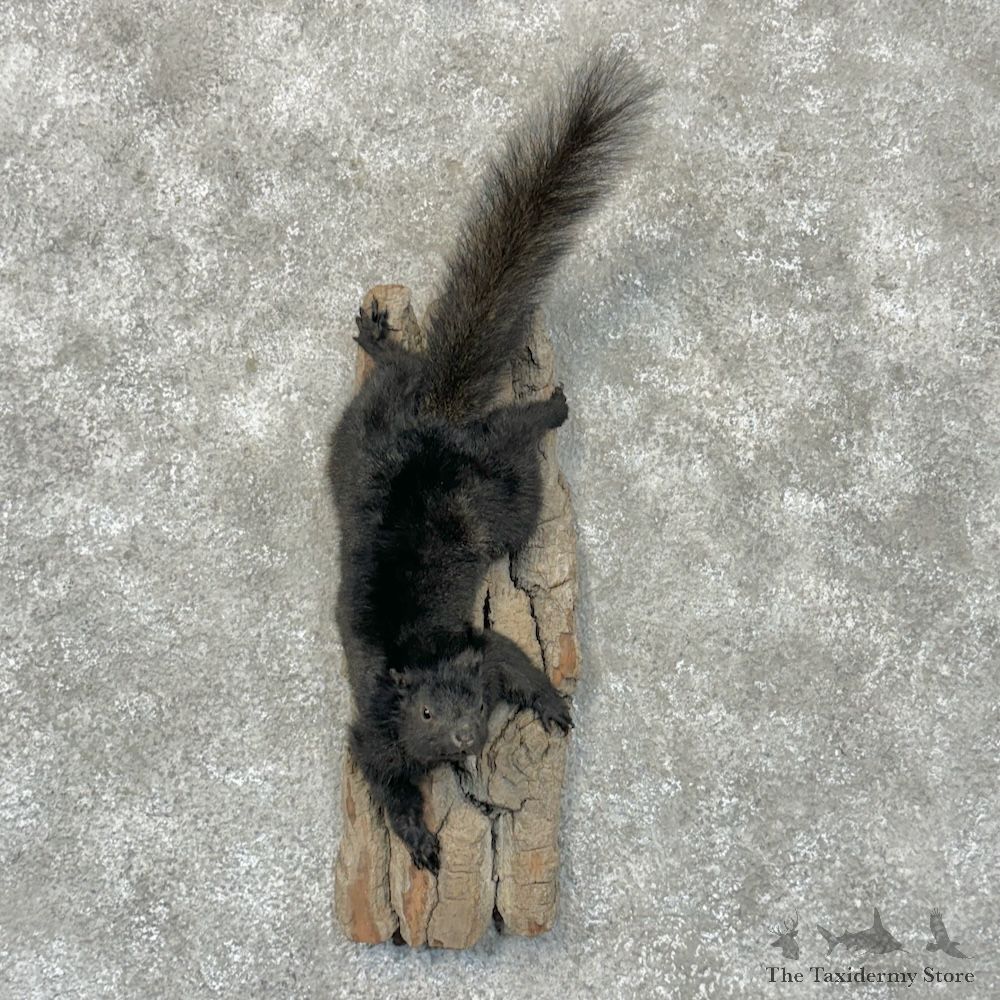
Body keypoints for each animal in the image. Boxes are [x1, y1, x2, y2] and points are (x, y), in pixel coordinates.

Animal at [328, 50, 655, 874]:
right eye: (424, 711)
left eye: (471, 704)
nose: (467, 737)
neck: (417, 657)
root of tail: (435, 412)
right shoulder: (372, 732)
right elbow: (388, 784)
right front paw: (421, 844)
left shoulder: (477, 650)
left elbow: (515, 660)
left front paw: (552, 704)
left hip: (494, 487)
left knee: (499, 421)